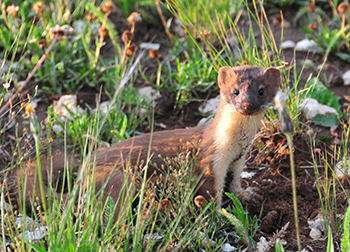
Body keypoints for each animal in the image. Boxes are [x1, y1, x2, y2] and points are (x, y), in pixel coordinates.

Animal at [14, 64, 282, 219]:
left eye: (261, 91)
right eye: (235, 91)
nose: (247, 104)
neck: (237, 143)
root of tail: (80, 178)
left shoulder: (238, 160)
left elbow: (234, 184)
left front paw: (247, 195)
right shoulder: (211, 159)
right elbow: (211, 190)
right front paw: (221, 213)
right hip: (118, 180)